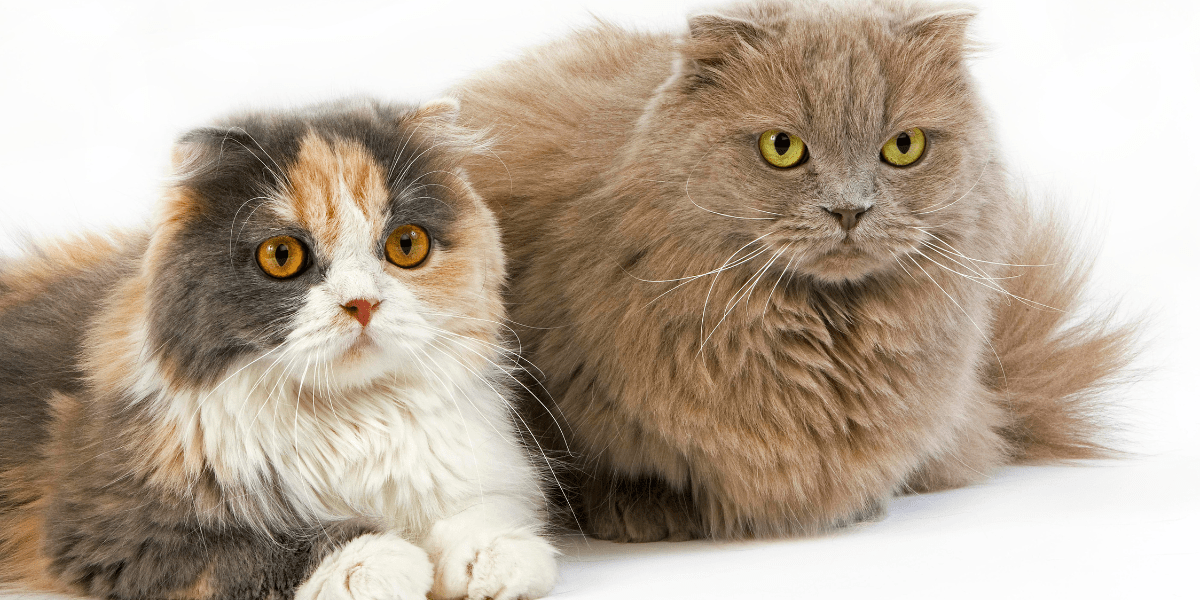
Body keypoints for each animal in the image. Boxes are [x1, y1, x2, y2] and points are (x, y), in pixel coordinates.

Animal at [0, 99, 559, 600]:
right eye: (282, 255)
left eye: (407, 245)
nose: (362, 305)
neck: (351, 419)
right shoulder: (114, 531)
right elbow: (261, 548)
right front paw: (377, 561)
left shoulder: (476, 472)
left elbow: (481, 512)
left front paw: (493, 555)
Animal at [453, 0, 1137, 542]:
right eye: (782, 148)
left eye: (904, 147)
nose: (850, 209)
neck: (821, 339)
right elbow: (606, 467)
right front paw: (642, 508)